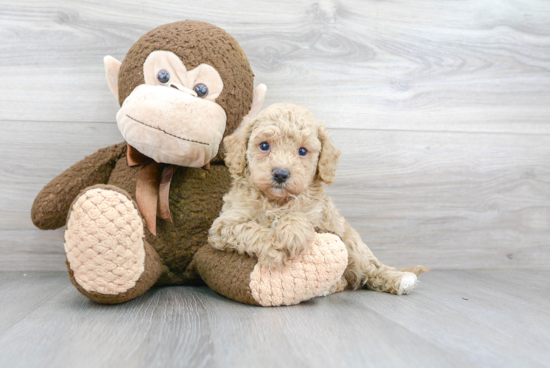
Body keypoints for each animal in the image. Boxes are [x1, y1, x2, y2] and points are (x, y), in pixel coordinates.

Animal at [209, 103, 430, 296]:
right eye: (264, 145)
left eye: (302, 151)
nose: (280, 174)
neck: (277, 201)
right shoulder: (225, 224)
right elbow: (250, 229)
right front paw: (276, 247)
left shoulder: (318, 215)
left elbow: (298, 215)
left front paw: (291, 232)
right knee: (344, 280)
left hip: (351, 243)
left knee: (371, 268)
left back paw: (400, 279)